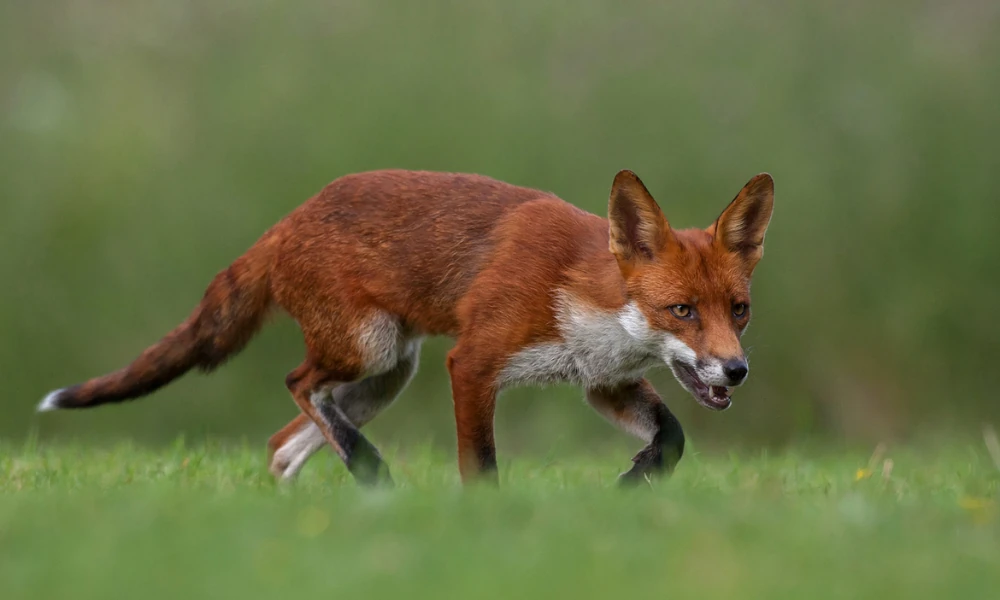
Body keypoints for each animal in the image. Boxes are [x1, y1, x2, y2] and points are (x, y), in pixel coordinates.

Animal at [38, 169, 773, 486]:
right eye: (682, 310)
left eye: (738, 310)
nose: (738, 369)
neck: (581, 293)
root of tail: (287, 221)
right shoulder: (472, 365)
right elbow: (481, 468)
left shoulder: (603, 383)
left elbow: (672, 437)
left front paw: (636, 480)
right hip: (371, 351)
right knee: (298, 383)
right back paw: (369, 472)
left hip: (384, 377)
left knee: (285, 441)